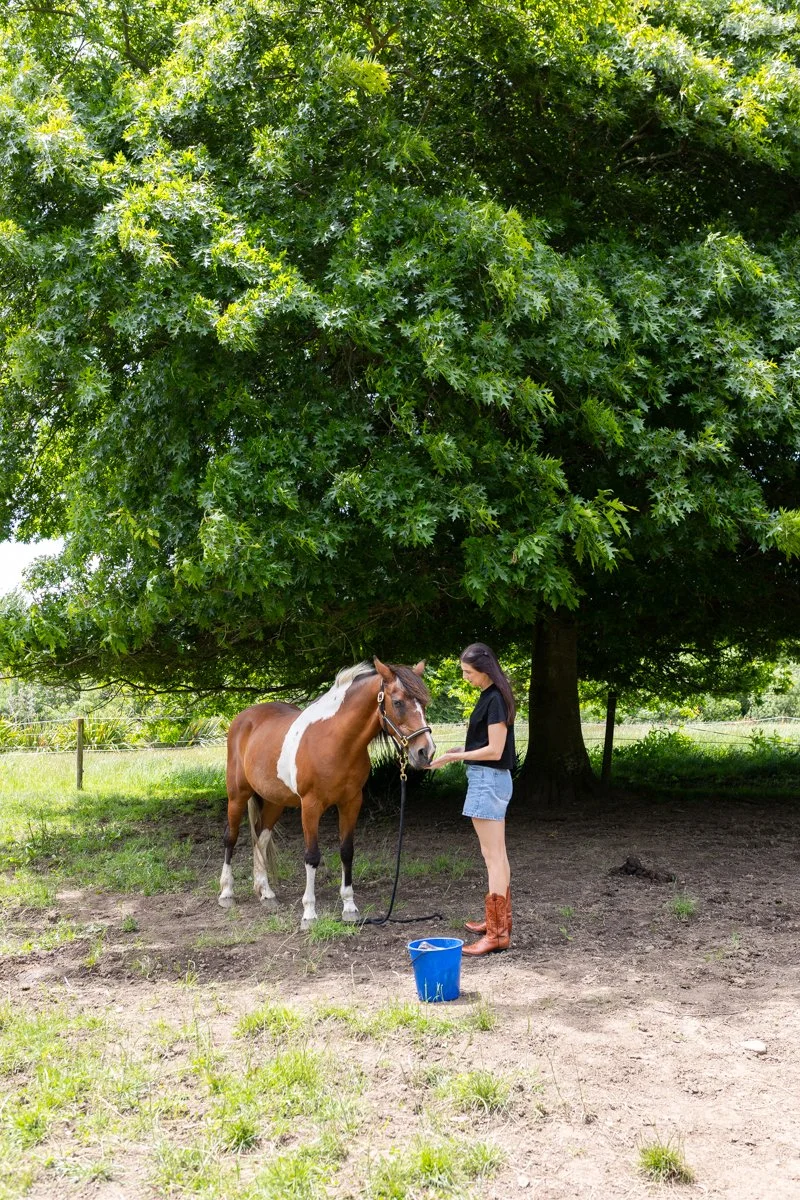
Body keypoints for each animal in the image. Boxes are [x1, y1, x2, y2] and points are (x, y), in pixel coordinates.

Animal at [219, 657, 435, 927]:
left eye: (424, 703)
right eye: (397, 702)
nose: (426, 752)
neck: (335, 742)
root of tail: (244, 718)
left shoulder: (351, 802)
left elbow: (347, 851)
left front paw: (350, 907)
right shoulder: (311, 806)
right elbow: (312, 856)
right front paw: (309, 913)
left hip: (274, 802)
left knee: (261, 838)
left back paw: (266, 892)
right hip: (237, 796)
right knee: (231, 837)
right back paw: (227, 893)